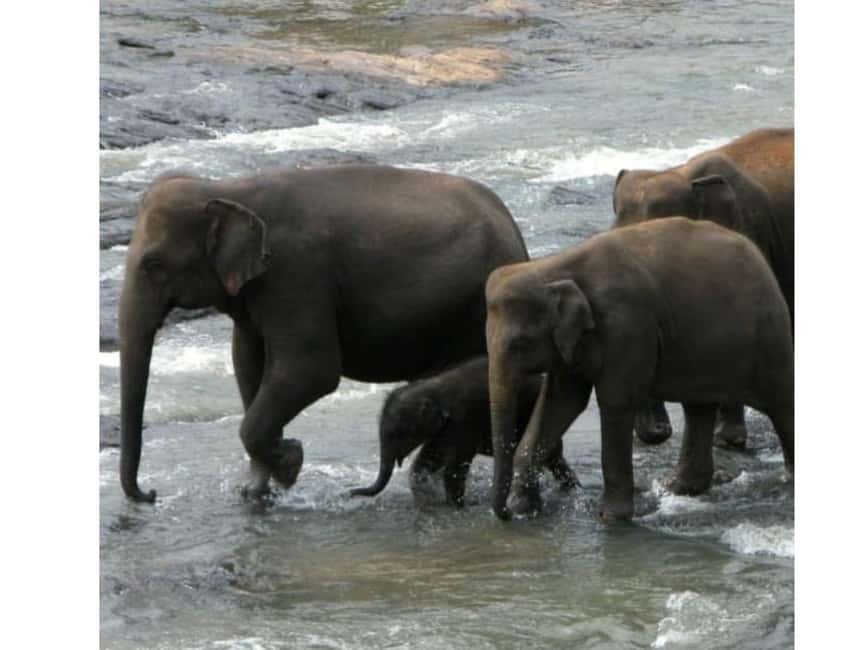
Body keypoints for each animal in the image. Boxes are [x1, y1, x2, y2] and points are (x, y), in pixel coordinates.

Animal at [118, 165, 530, 502]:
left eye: (153, 264)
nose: (151, 494)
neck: (228, 187)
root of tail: (517, 236)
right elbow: (247, 364)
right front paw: (256, 489)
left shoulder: (296, 271)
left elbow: (310, 371)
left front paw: (290, 464)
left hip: (472, 308)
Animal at [350, 356, 579, 506]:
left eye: (398, 433)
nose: (351, 493)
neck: (431, 387)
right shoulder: (443, 429)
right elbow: (427, 461)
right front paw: (428, 496)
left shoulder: (463, 422)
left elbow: (454, 469)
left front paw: (457, 506)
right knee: (553, 460)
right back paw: (570, 489)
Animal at [485, 217, 793, 521]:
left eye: (520, 344)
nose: (505, 514)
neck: (553, 266)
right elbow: (561, 401)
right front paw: (525, 509)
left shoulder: (626, 327)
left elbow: (616, 402)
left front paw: (610, 517)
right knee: (699, 407)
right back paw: (675, 488)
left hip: (768, 337)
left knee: (780, 402)